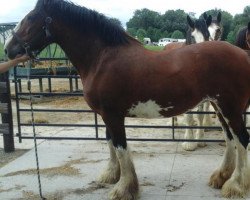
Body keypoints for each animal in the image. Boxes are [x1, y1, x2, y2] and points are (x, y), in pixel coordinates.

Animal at [4, 0, 250, 199]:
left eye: (30, 18)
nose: (8, 49)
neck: (103, 58)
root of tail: (243, 55)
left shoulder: (113, 115)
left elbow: (121, 148)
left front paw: (124, 188)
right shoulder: (106, 115)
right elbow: (110, 144)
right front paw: (111, 175)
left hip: (230, 108)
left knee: (242, 140)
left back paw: (236, 185)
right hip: (219, 107)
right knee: (230, 138)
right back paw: (221, 177)